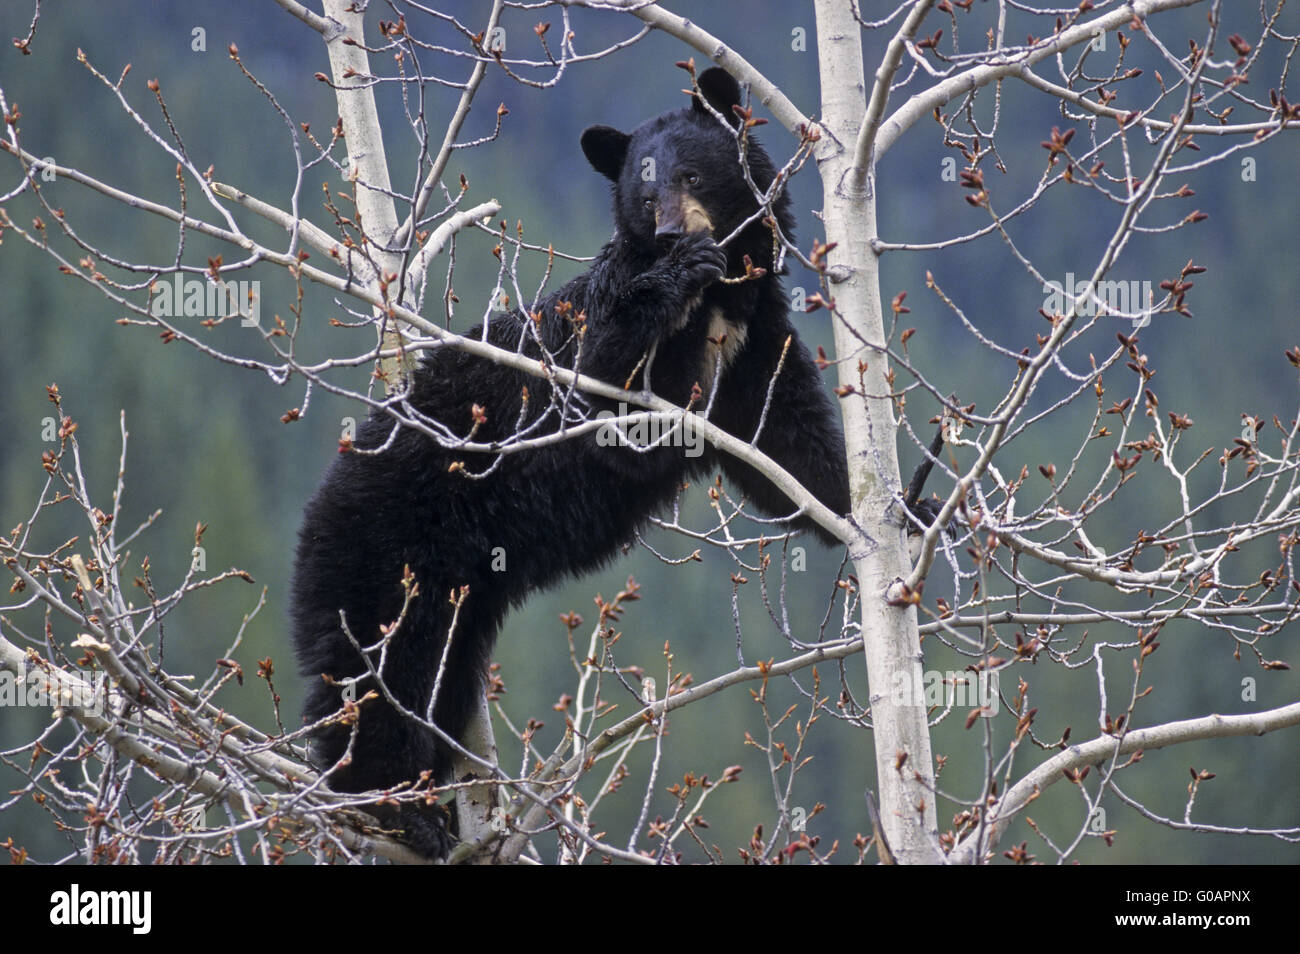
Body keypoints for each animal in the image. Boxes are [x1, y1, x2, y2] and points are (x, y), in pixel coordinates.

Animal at [288, 67, 847, 857]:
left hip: (460, 595)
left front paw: (901, 510)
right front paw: (670, 276)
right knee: (375, 670)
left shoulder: (756, 346)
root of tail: (323, 501)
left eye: (691, 172)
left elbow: (789, 446)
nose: (672, 232)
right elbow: (603, 385)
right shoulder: (595, 349)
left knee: (434, 678)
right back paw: (396, 808)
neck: (722, 302)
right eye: (644, 193)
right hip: (387, 548)